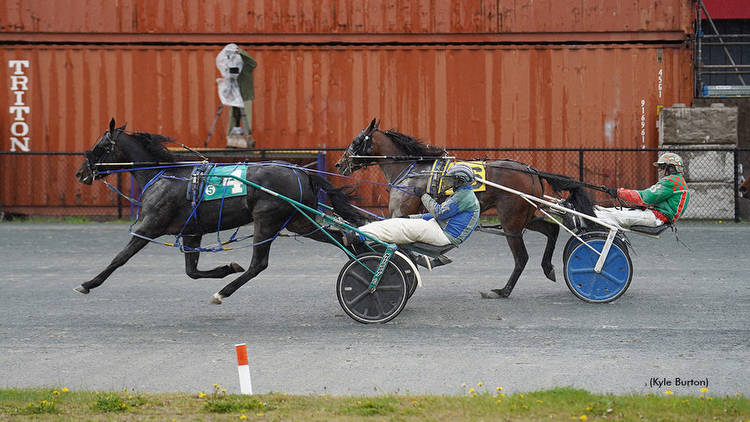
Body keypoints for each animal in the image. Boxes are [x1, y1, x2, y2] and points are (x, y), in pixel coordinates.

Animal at [74, 118, 364, 304]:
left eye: (101, 147)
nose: (80, 173)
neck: (164, 176)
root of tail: (301, 171)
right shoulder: (192, 232)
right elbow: (191, 271)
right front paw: (227, 266)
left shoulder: (150, 226)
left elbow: (120, 258)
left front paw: (88, 284)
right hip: (298, 221)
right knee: (339, 237)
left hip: (266, 220)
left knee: (259, 264)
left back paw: (222, 292)